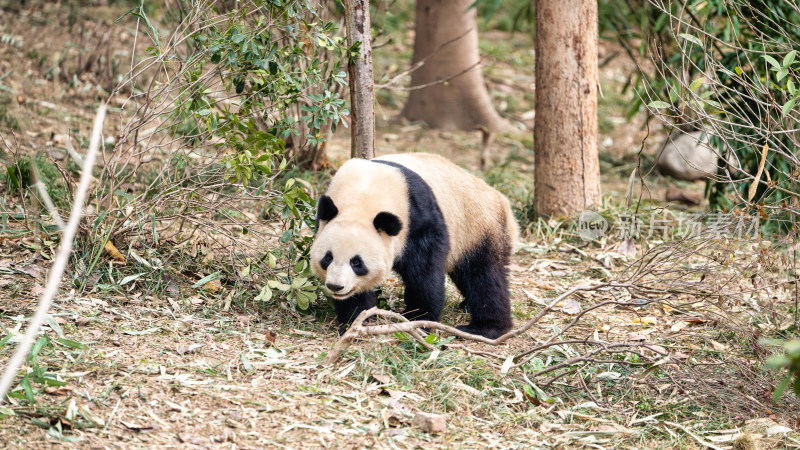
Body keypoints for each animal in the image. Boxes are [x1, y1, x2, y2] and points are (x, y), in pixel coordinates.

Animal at [306, 153, 520, 340]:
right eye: (328, 258)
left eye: (357, 262)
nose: (335, 286)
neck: (364, 195)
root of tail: (503, 202)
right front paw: (355, 320)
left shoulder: (418, 217)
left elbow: (424, 273)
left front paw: (417, 319)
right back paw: (467, 305)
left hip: (478, 227)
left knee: (485, 276)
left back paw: (485, 328)